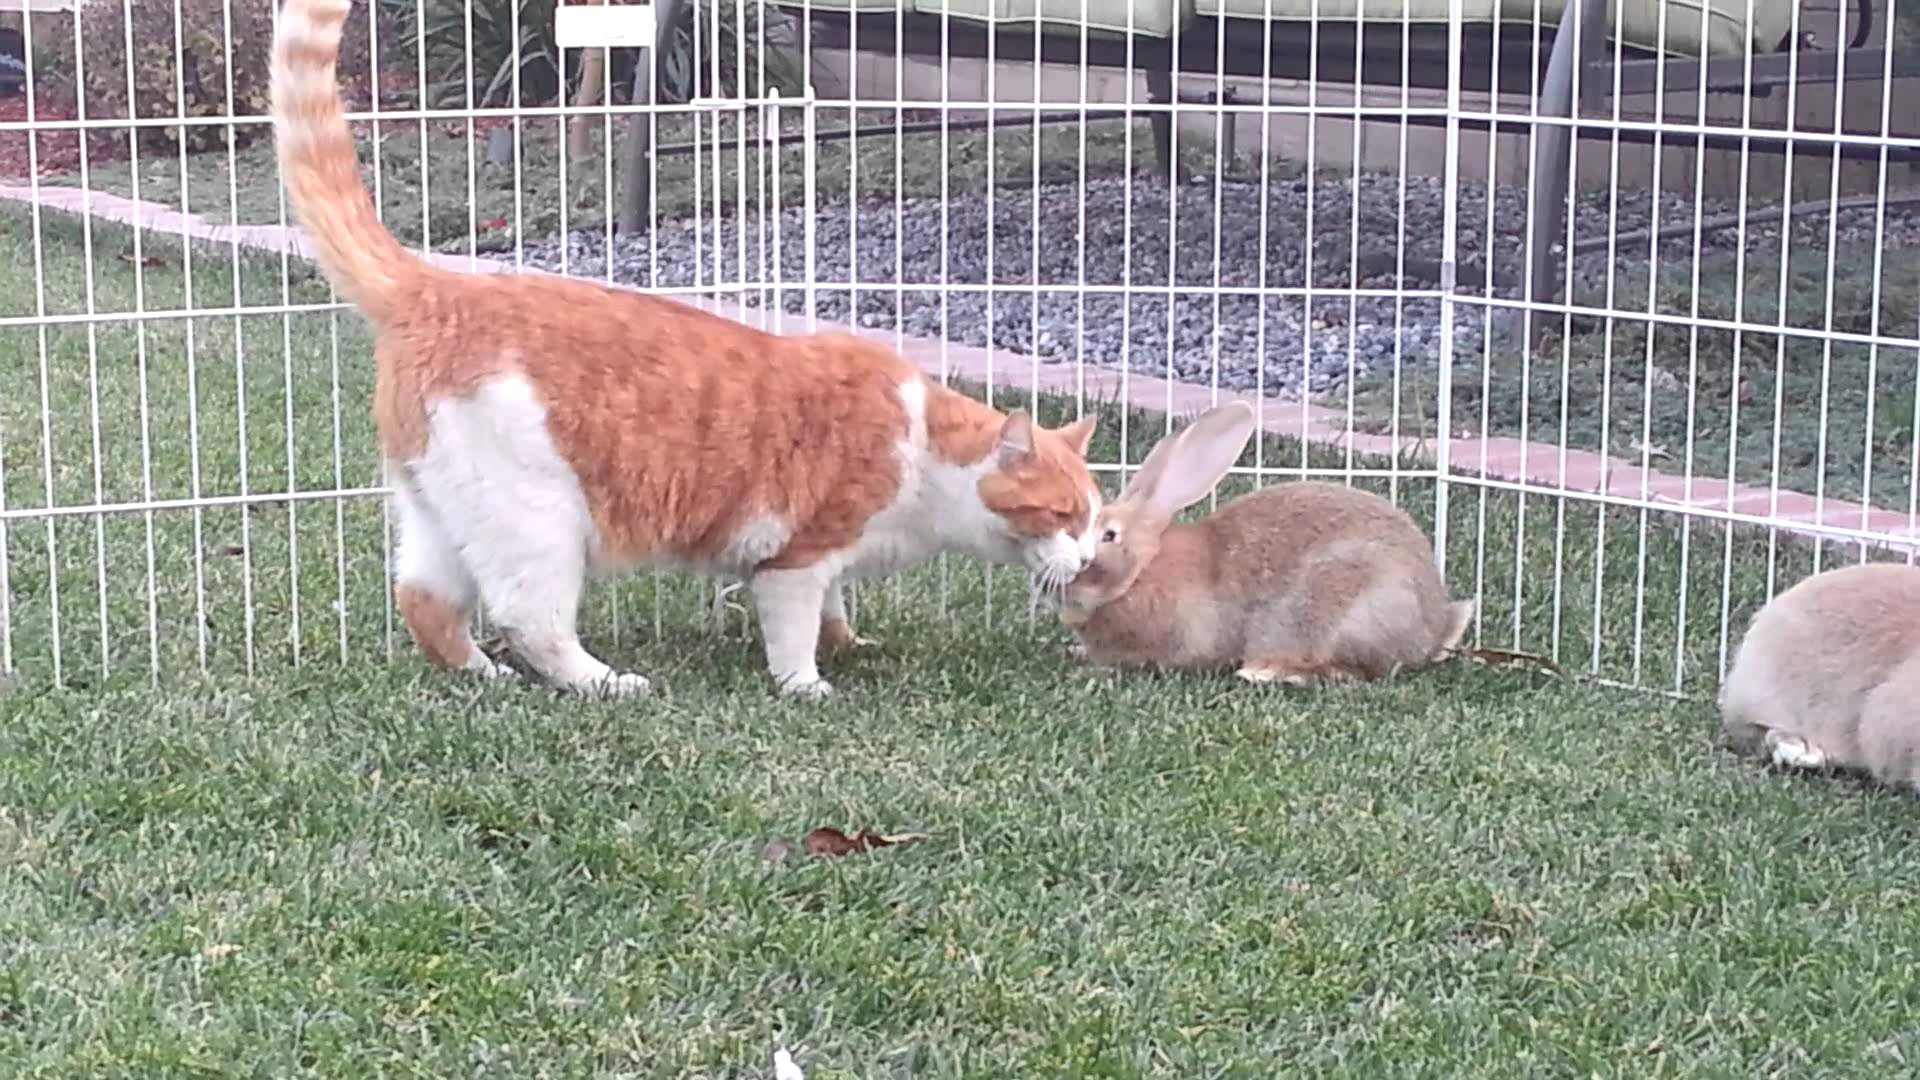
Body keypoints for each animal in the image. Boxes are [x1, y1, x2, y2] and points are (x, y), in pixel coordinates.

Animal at [276, 0, 1105, 699]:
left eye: (1098, 521)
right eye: (1063, 516)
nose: (1092, 559)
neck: (926, 453)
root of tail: (434, 287)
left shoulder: (830, 563)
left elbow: (836, 608)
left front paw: (851, 644)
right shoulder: (798, 558)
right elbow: (795, 628)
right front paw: (808, 684)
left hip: (439, 511)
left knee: (423, 600)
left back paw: (484, 674)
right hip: (538, 522)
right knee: (531, 619)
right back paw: (605, 683)